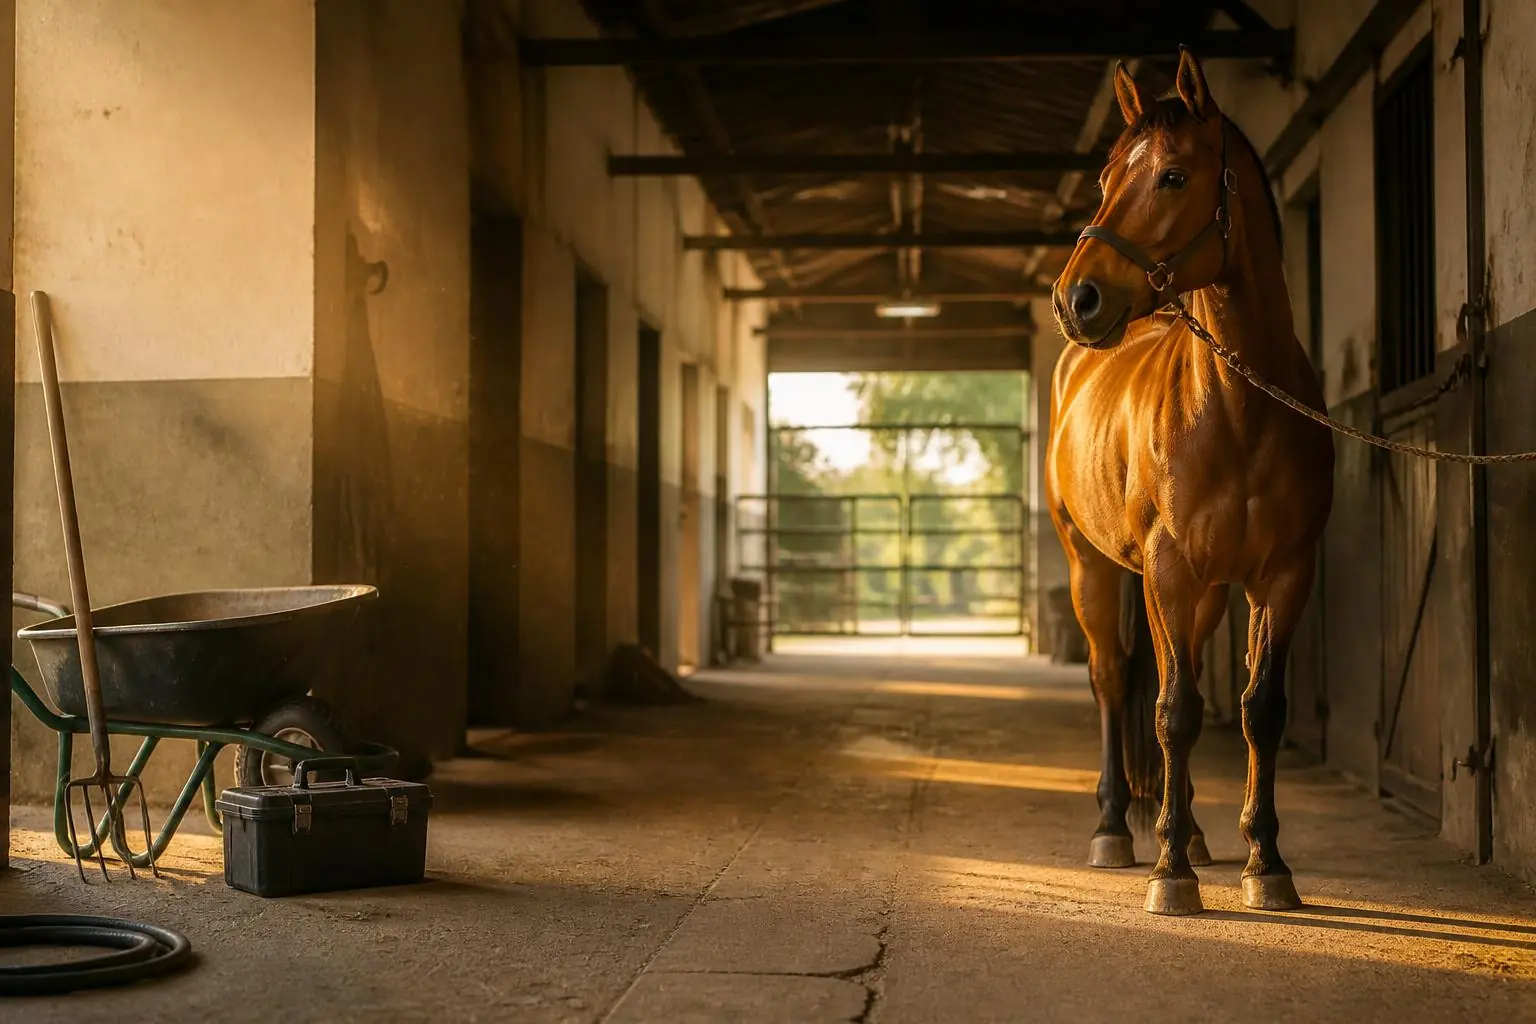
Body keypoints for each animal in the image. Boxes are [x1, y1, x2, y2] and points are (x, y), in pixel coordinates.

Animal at [1046, 48, 1335, 916]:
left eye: (1173, 176)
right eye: (1106, 177)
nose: (1076, 298)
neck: (1238, 408)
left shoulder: (1284, 574)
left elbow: (1258, 710)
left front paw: (1265, 862)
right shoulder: (1167, 572)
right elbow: (1172, 713)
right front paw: (1170, 871)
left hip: (1203, 593)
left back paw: (1201, 834)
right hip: (1095, 569)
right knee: (1113, 681)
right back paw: (1115, 828)